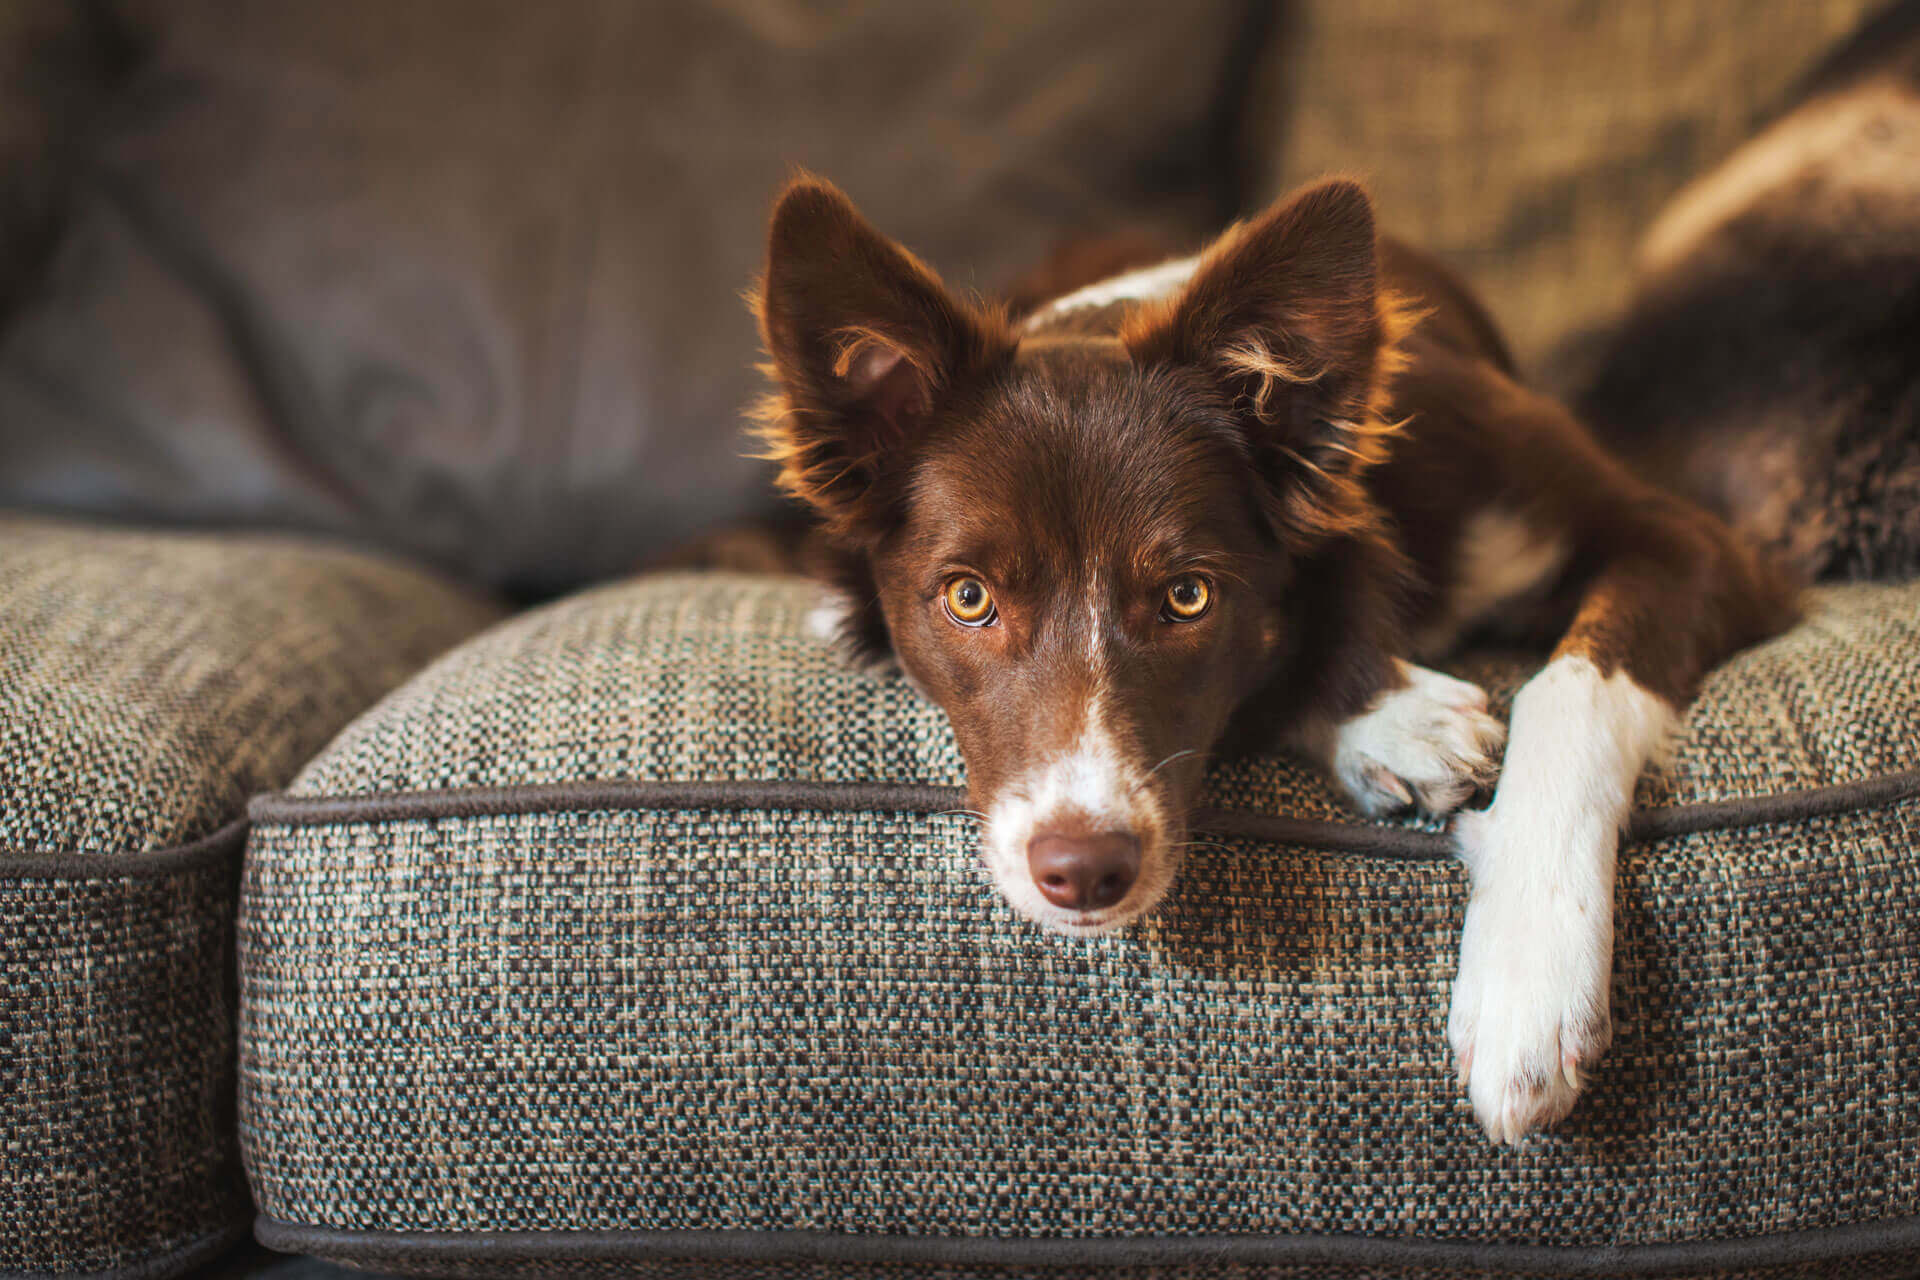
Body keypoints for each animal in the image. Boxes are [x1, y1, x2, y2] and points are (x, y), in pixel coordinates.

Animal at [744, 169, 1797, 1143]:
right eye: (969, 598)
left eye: (1187, 596)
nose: (1084, 872)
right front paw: (1393, 723)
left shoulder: (1693, 544)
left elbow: (1569, 692)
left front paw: (1529, 980)